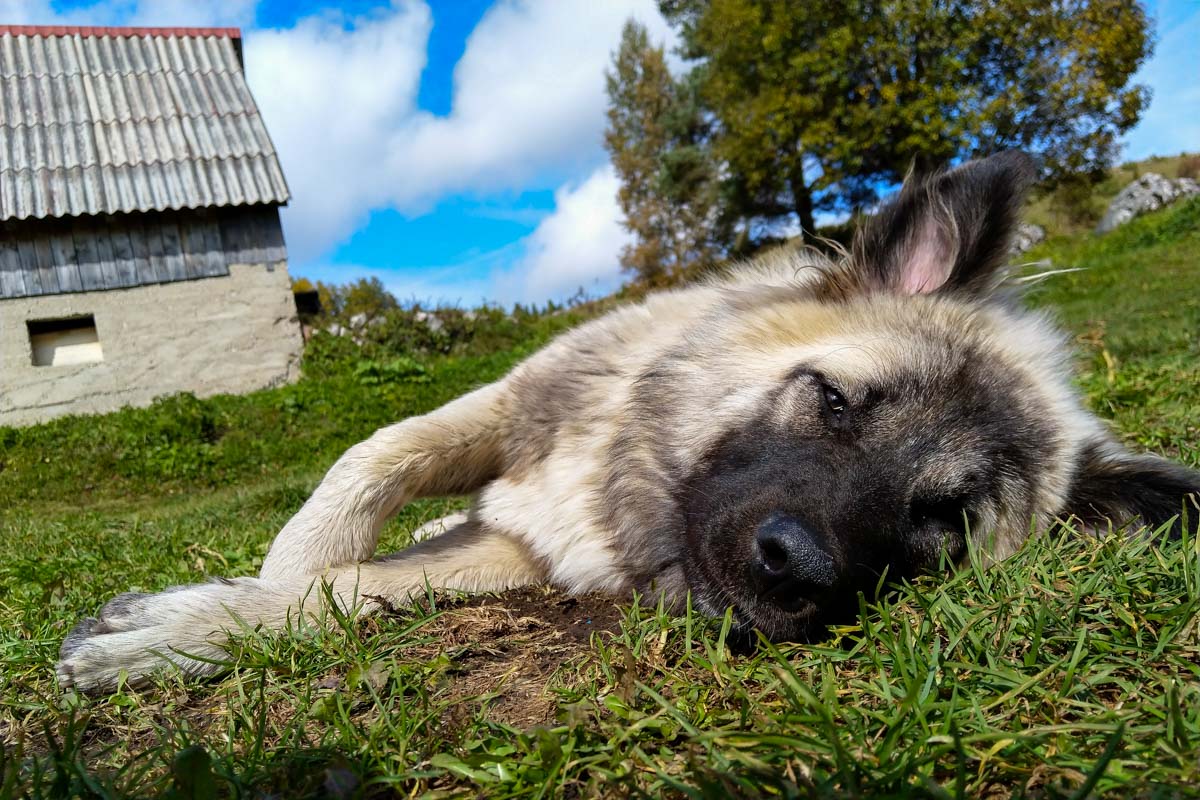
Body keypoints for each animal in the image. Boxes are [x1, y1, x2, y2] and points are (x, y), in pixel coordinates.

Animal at [56, 151, 1200, 695]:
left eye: (947, 521)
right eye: (834, 399)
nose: (792, 565)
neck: (627, 487)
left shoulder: (522, 556)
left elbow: (362, 593)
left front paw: (215, 623)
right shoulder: (509, 407)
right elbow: (370, 464)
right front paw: (268, 578)